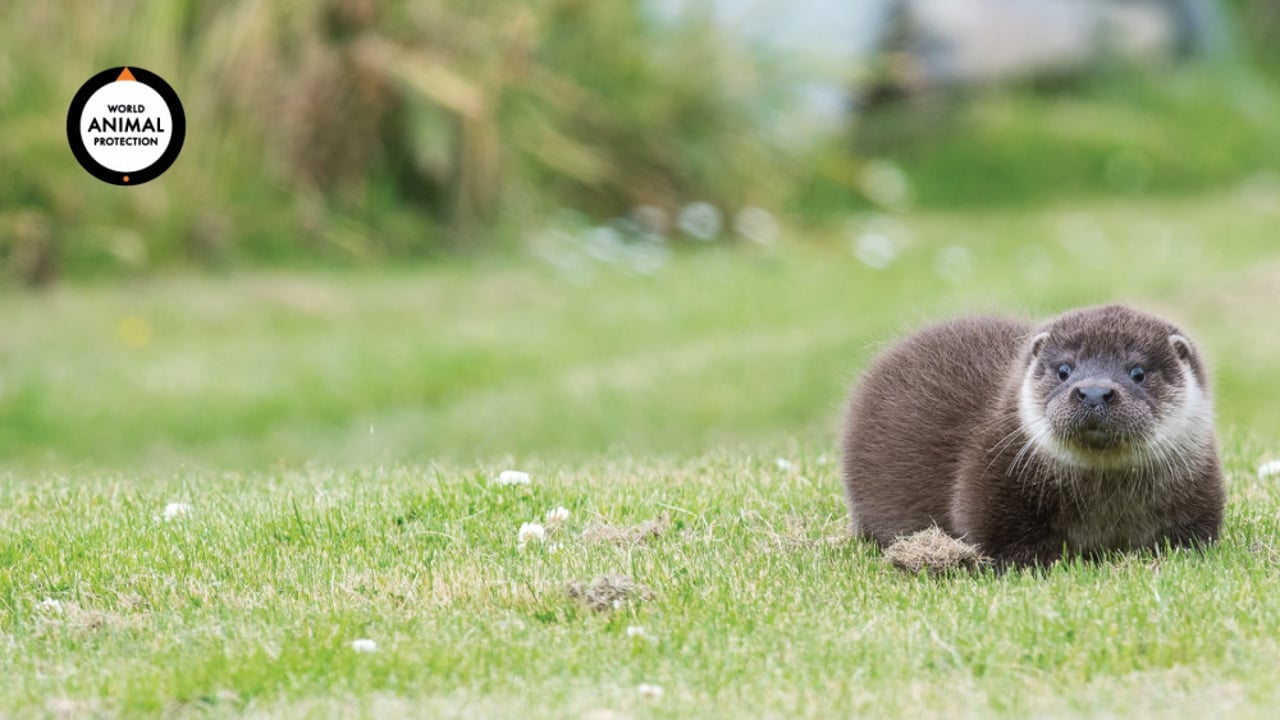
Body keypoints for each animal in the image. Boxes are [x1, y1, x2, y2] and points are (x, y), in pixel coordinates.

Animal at [844, 302, 1223, 566]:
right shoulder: (993, 487)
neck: (1105, 501)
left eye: (1138, 372)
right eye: (1064, 370)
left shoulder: (1198, 496)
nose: (1094, 392)